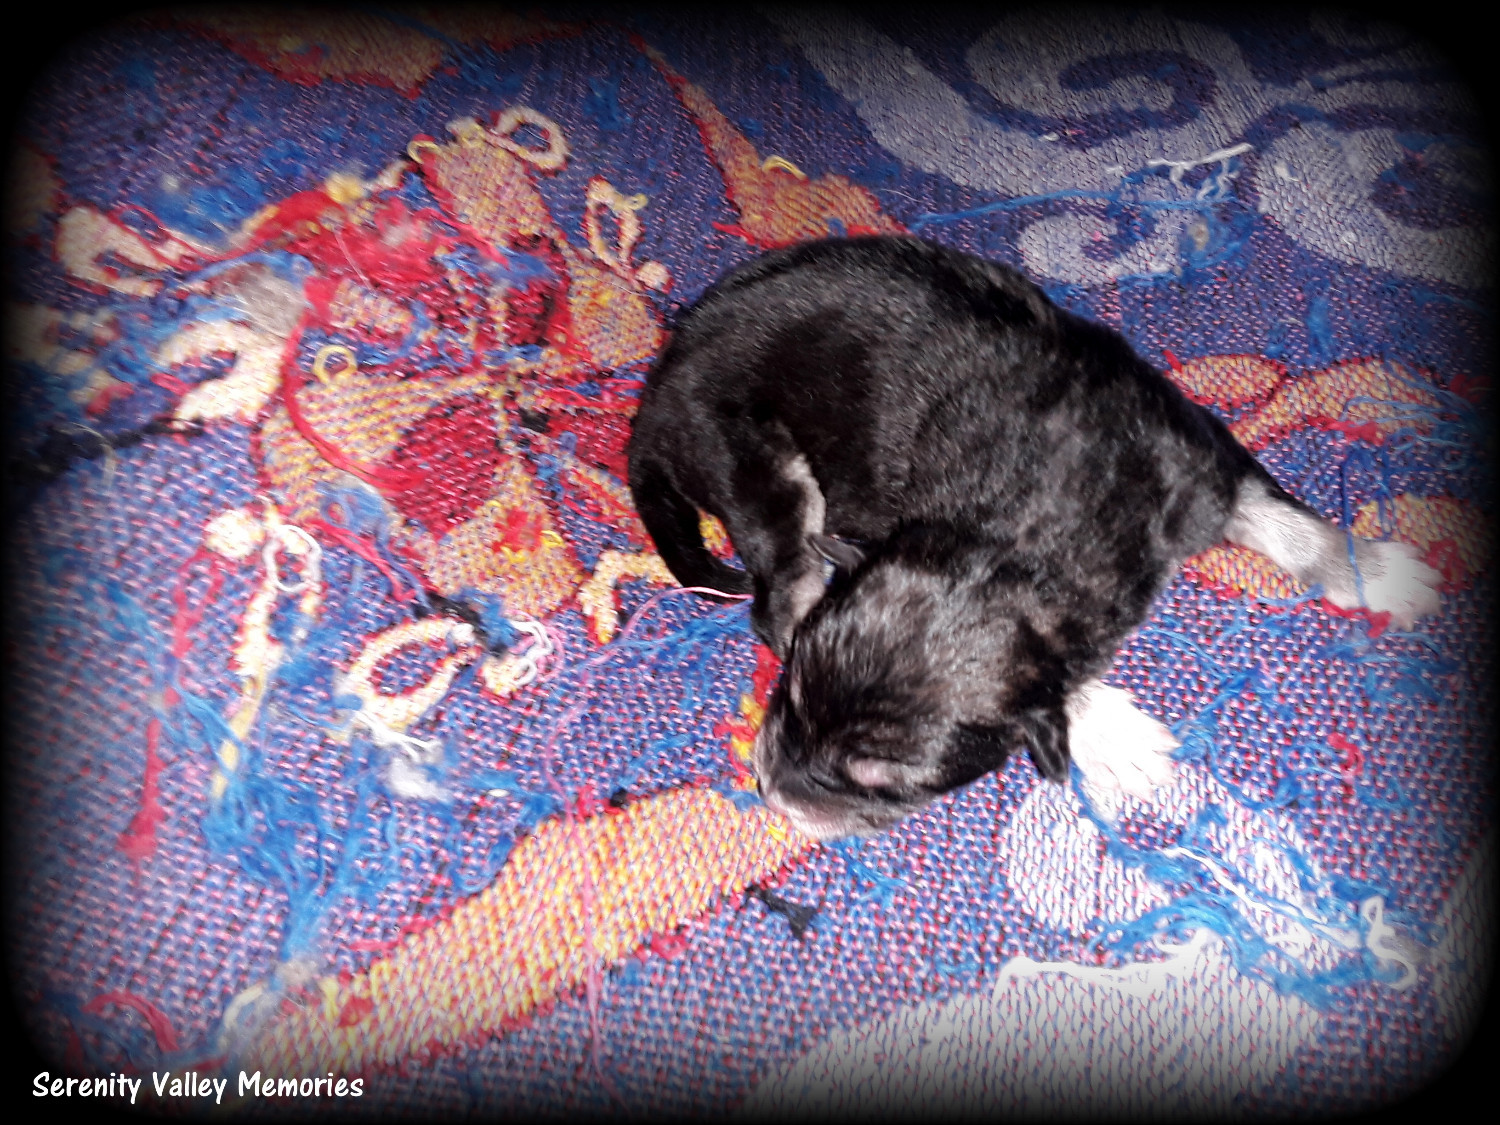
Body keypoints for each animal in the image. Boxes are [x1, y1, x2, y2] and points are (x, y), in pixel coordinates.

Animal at [628, 236, 1441, 840]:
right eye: (789, 696)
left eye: (884, 782)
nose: (770, 789)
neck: (1037, 524)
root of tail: (660, 387)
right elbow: (1057, 684)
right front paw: (1113, 731)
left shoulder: (1200, 458)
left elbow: (1286, 519)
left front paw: (1373, 570)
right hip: (758, 463)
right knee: (781, 599)